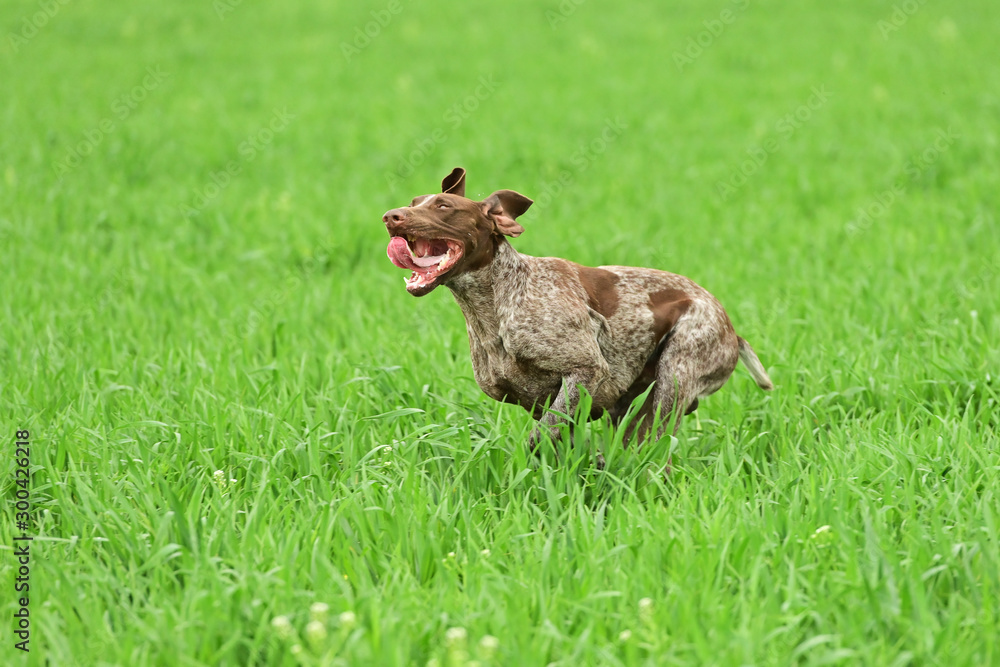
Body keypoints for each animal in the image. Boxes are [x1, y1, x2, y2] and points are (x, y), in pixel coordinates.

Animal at [382, 167, 772, 454]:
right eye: (415, 201)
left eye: (443, 206)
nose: (391, 216)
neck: (497, 301)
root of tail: (732, 329)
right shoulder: (548, 402)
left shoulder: (584, 372)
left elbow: (537, 440)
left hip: (673, 381)